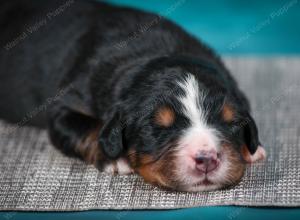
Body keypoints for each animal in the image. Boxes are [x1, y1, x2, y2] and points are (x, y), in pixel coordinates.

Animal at [0, 0, 268, 191]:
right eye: (158, 128)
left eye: (231, 122)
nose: (207, 159)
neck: (160, 52)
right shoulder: (64, 106)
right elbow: (89, 128)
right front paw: (114, 158)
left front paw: (253, 150)